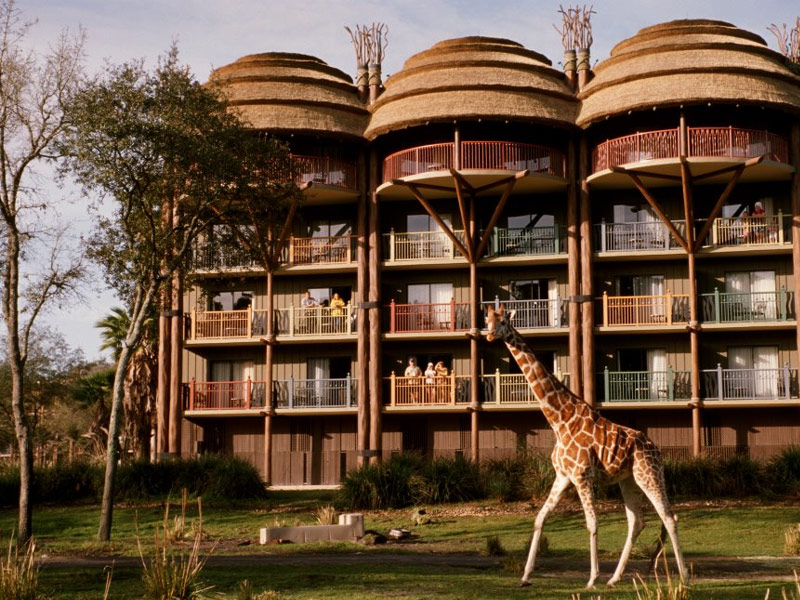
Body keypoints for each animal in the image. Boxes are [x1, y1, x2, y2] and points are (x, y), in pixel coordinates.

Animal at [484, 302, 684, 588]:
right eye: (486, 320)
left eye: (502, 322)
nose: (490, 336)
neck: (559, 420)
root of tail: (657, 450)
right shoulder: (563, 475)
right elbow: (539, 518)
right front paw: (525, 575)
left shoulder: (581, 475)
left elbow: (592, 523)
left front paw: (591, 579)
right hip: (629, 479)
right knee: (637, 521)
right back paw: (614, 578)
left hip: (649, 474)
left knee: (669, 516)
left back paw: (685, 577)